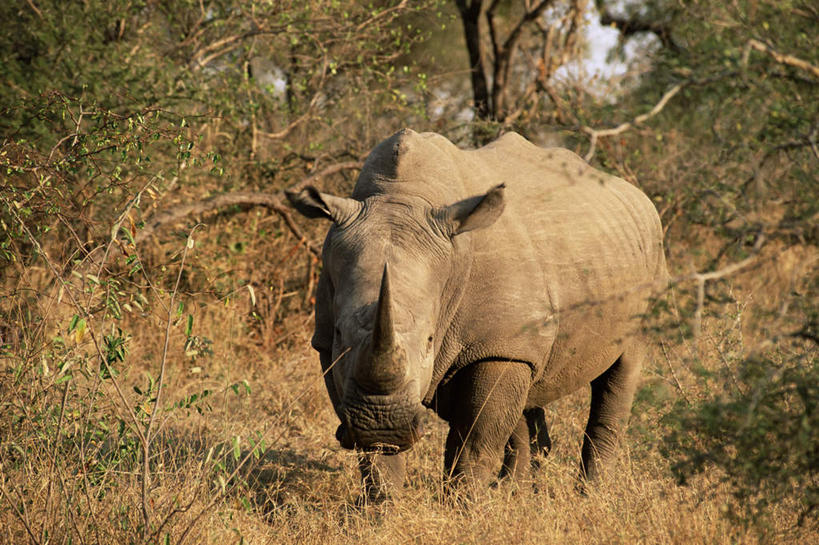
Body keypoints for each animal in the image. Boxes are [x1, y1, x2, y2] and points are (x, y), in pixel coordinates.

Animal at [286, 130, 668, 500]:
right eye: (340, 335)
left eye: (430, 341)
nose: (383, 422)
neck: (404, 196)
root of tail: (637, 195)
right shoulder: (326, 345)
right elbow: (376, 454)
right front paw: (382, 507)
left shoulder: (496, 345)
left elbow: (474, 442)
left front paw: (464, 508)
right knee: (527, 392)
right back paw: (516, 496)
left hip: (650, 260)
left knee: (620, 374)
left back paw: (589, 498)